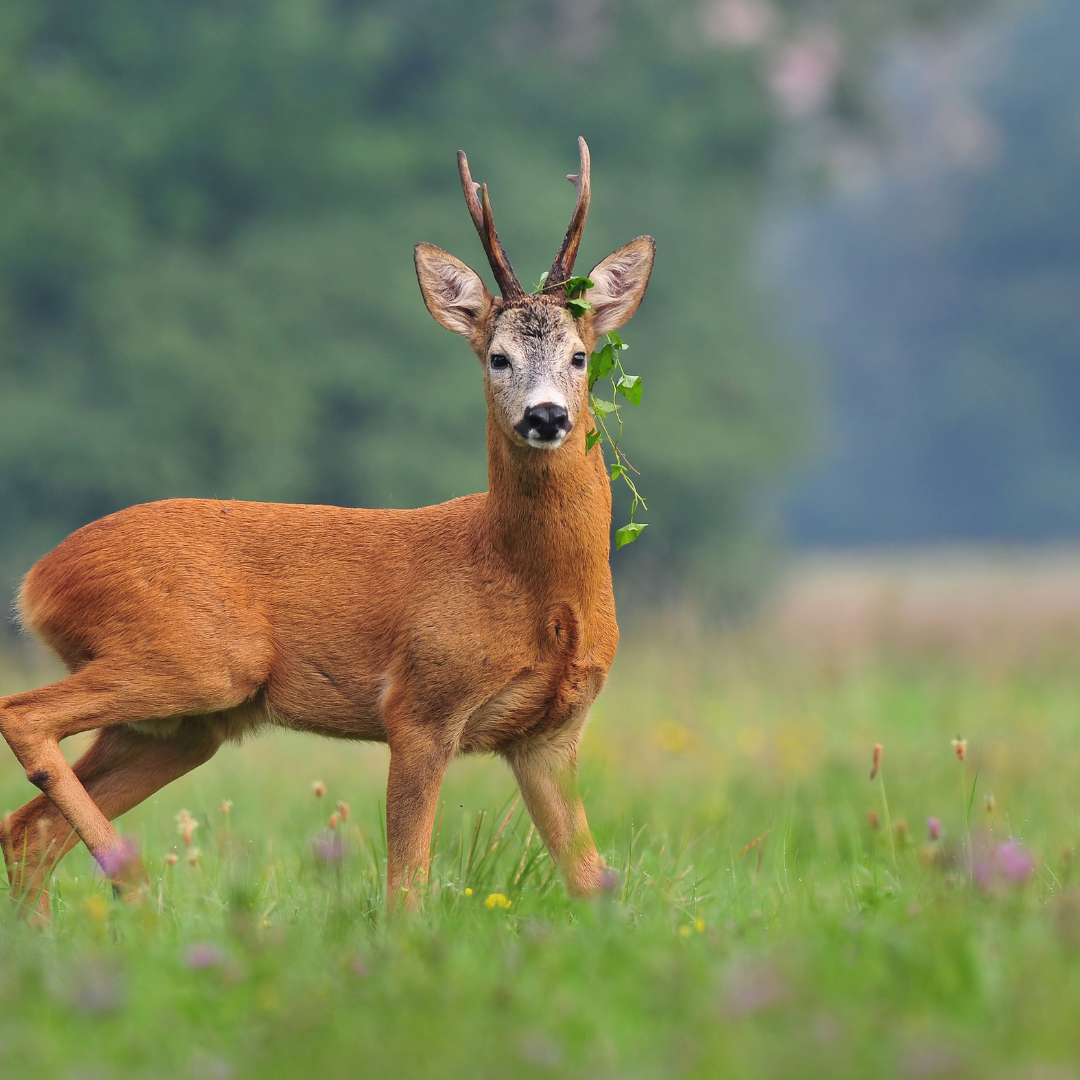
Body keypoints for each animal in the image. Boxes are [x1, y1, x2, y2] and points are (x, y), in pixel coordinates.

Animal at [0, 137, 652, 911]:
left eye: (580, 356)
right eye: (498, 357)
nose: (546, 416)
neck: (536, 589)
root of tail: (37, 581)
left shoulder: (550, 735)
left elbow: (592, 881)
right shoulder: (420, 705)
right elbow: (406, 886)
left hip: (180, 724)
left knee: (29, 829)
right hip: (195, 658)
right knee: (20, 716)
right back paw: (133, 881)